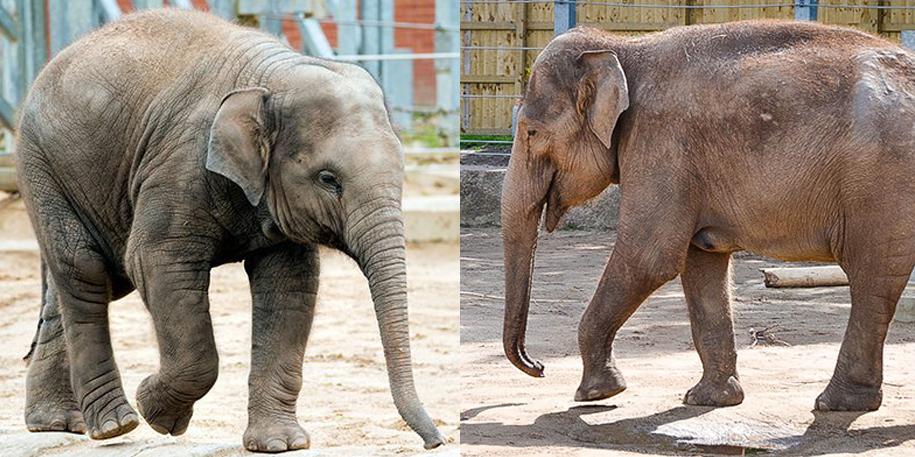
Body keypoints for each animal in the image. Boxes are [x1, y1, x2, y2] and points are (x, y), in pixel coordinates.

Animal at [14, 8, 444, 450]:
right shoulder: (179, 166)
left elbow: (289, 283)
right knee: (86, 270)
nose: (435, 442)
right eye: (329, 180)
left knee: (83, 283)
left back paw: (59, 422)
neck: (274, 77)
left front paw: (280, 444)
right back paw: (115, 425)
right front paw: (159, 413)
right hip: (43, 165)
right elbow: (156, 262)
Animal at [500, 20, 915, 414]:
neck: (624, 47)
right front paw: (708, 399)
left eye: (531, 132)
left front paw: (595, 394)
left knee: (871, 276)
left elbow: (649, 258)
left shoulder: (660, 143)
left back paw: (836, 403)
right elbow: (701, 262)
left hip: (880, 183)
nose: (538, 366)